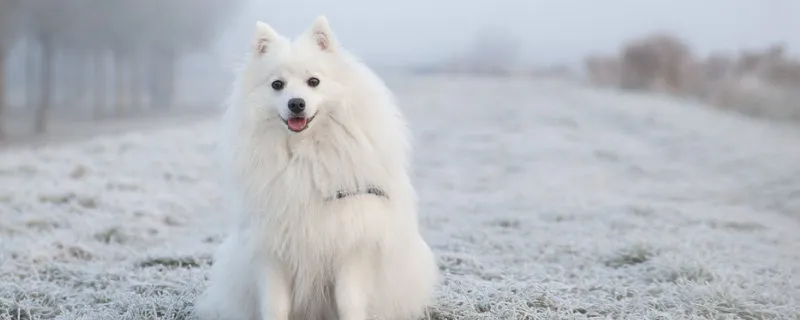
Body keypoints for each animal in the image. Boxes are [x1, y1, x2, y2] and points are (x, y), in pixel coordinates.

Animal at [196, 16, 440, 320]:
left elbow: (349, 301)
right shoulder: (271, 250)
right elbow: (274, 305)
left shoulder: (353, 245)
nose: (296, 103)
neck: (305, 154)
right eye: (277, 84)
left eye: (314, 81)